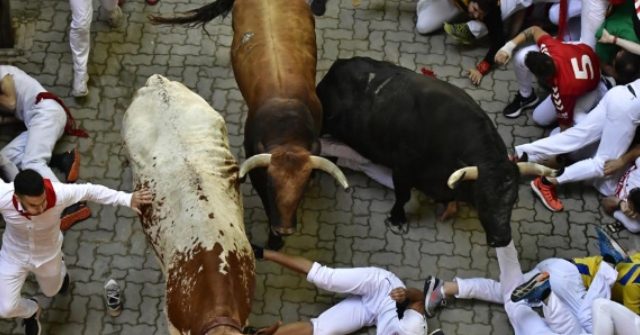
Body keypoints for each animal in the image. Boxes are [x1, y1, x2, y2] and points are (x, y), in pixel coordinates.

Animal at [320, 57, 556, 248]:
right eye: (482, 199)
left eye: (513, 199)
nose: (502, 239)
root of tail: (337, 67)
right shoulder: (403, 168)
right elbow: (403, 195)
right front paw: (397, 220)